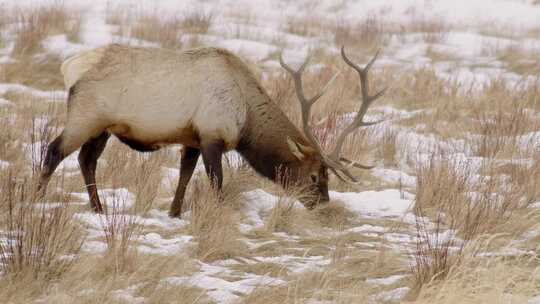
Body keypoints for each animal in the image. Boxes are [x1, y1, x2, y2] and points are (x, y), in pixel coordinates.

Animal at [37, 44, 384, 217]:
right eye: (314, 176)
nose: (323, 203)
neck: (246, 119)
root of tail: (68, 66)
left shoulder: (191, 138)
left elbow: (184, 176)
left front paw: (175, 213)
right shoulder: (212, 135)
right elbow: (216, 181)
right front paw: (217, 214)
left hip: (102, 128)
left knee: (86, 160)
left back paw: (98, 208)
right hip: (86, 116)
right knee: (54, 151)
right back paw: (38, 197)